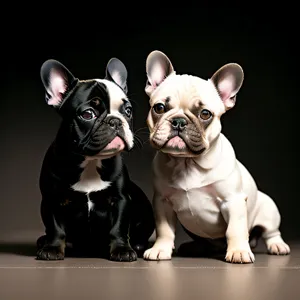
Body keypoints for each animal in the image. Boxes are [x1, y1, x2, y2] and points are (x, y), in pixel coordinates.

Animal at [36, 57, 155, 262]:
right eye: (88, 114)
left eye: (128, 111)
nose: (115, 121)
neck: (91, 161)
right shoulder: (52, 199)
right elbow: (55, 227)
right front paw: (52, 248)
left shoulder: (121, 199)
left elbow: (118, 227)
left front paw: (122, 249)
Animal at [143, 51, 290, 262]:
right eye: (160, 108)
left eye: (205, 114)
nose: (179, 121)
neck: (187, 162)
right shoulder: (162, 202)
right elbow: (164, 230)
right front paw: (160, 249)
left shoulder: (233, 201)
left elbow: (235, 229)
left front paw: (238, 251)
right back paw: (194, 248)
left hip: (268, 209)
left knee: (271, 232)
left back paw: (277, 246)